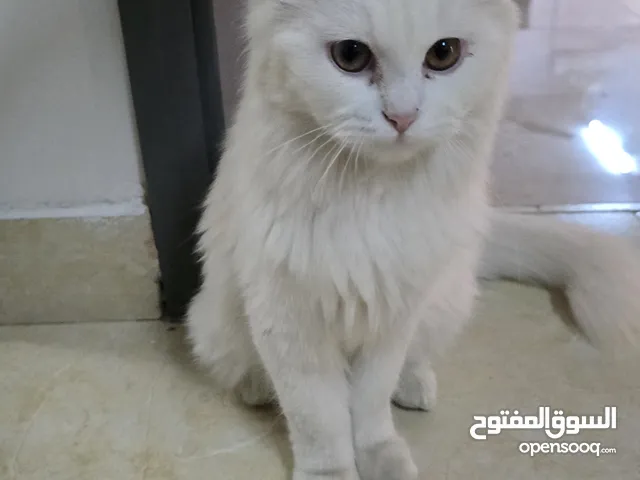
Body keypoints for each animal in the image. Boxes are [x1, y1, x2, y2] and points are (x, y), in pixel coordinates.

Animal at [185, 0, 640, 480]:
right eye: (350, 56)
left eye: (443, 54)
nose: (402, 117)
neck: (372, 197)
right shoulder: (290, 321)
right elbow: (318, 418)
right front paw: (330, 472)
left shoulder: (393, 314)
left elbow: (369, 405)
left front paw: (381, 457)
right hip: (213, 327)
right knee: (247, 370)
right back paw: (255, 387)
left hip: (443, 302)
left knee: (412, 362)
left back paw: (415, 387)